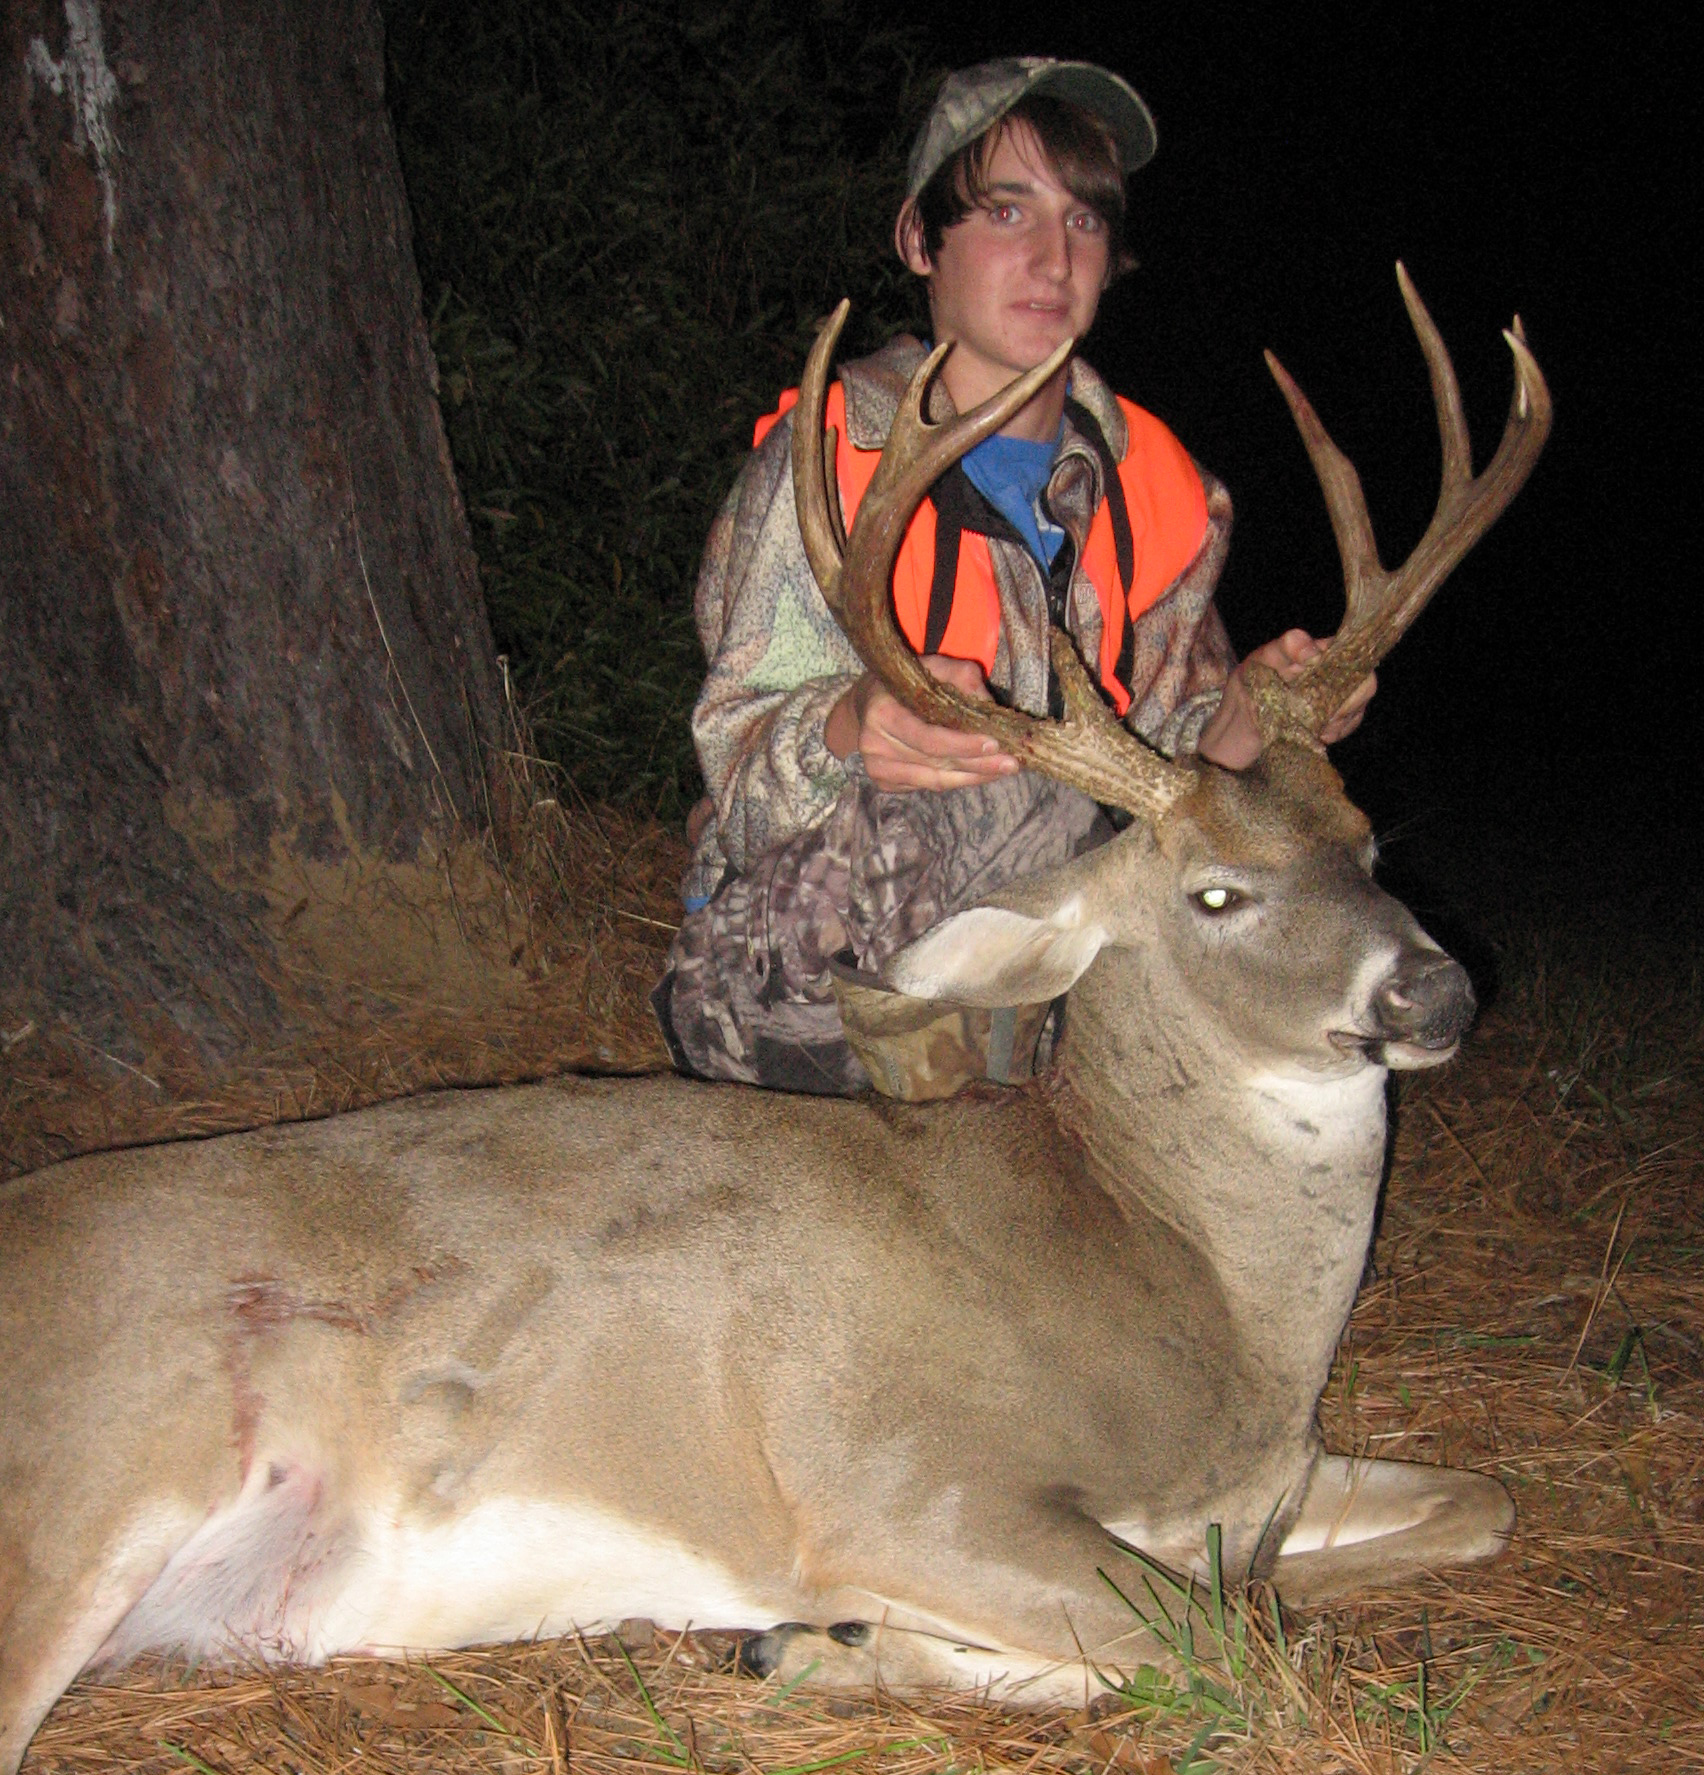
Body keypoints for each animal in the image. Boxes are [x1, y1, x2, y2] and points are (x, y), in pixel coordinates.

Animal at [0, 266, 1548, 1772]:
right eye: (1216, 893)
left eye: (1366, 839)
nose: (1437, 988)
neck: (1191, 1291)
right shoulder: (894, 1476)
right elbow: (1225, 1649)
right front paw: (831, 1640)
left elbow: (1474, 1507)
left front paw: (831, 1647)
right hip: (82, 1478)